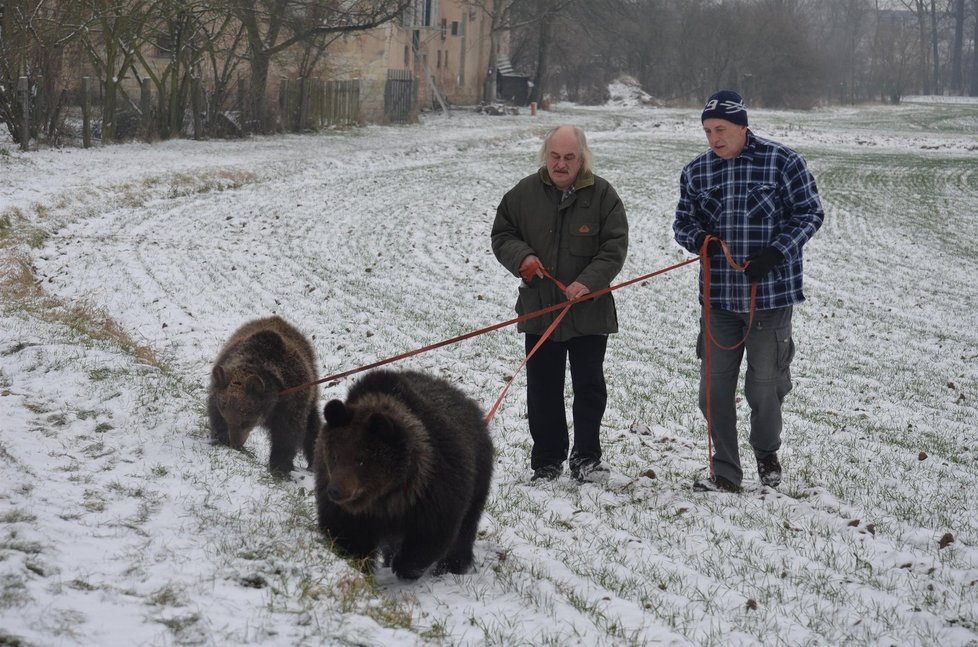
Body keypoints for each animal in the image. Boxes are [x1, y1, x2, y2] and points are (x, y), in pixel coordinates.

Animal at [207, 318, 320, 476]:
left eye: (246, 421)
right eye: (227, 418)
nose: (235, 445)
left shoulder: (291, 403)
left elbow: (286, 436)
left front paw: (280, 466)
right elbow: (215, 414)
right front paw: (221, 437)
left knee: (313, 429)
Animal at [314, 370, 492, 584]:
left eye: (361, 460)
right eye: (334, 456)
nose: (335, 490)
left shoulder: (433, 489)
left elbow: (431, 532)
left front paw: (405, 566)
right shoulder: (350, 510)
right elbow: (347, 534)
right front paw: (357, 565)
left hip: (479, 478)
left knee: (465, 529)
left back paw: (454, 565)